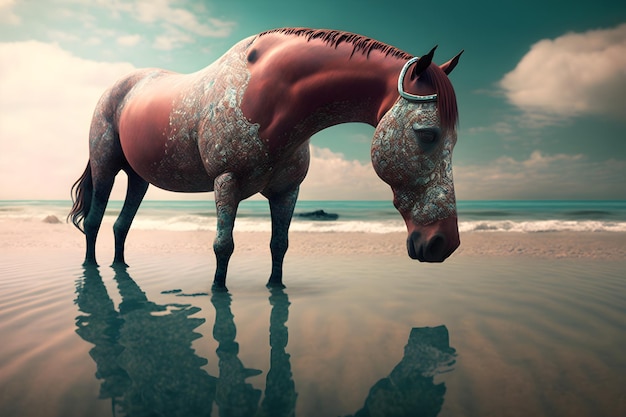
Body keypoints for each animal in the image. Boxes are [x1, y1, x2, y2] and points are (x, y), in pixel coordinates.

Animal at [68, 26, 460, 290]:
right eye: (427, 134)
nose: (444, 243)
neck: (266, 93)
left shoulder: (287, 190)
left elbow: (279, 243)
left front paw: (276, 287)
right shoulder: (225, 181)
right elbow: (223, 244)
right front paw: (218, 291)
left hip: (139, 177)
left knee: (121, 225)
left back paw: (121, 267)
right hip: (106, 167)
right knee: (94, 221)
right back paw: (91, 268)